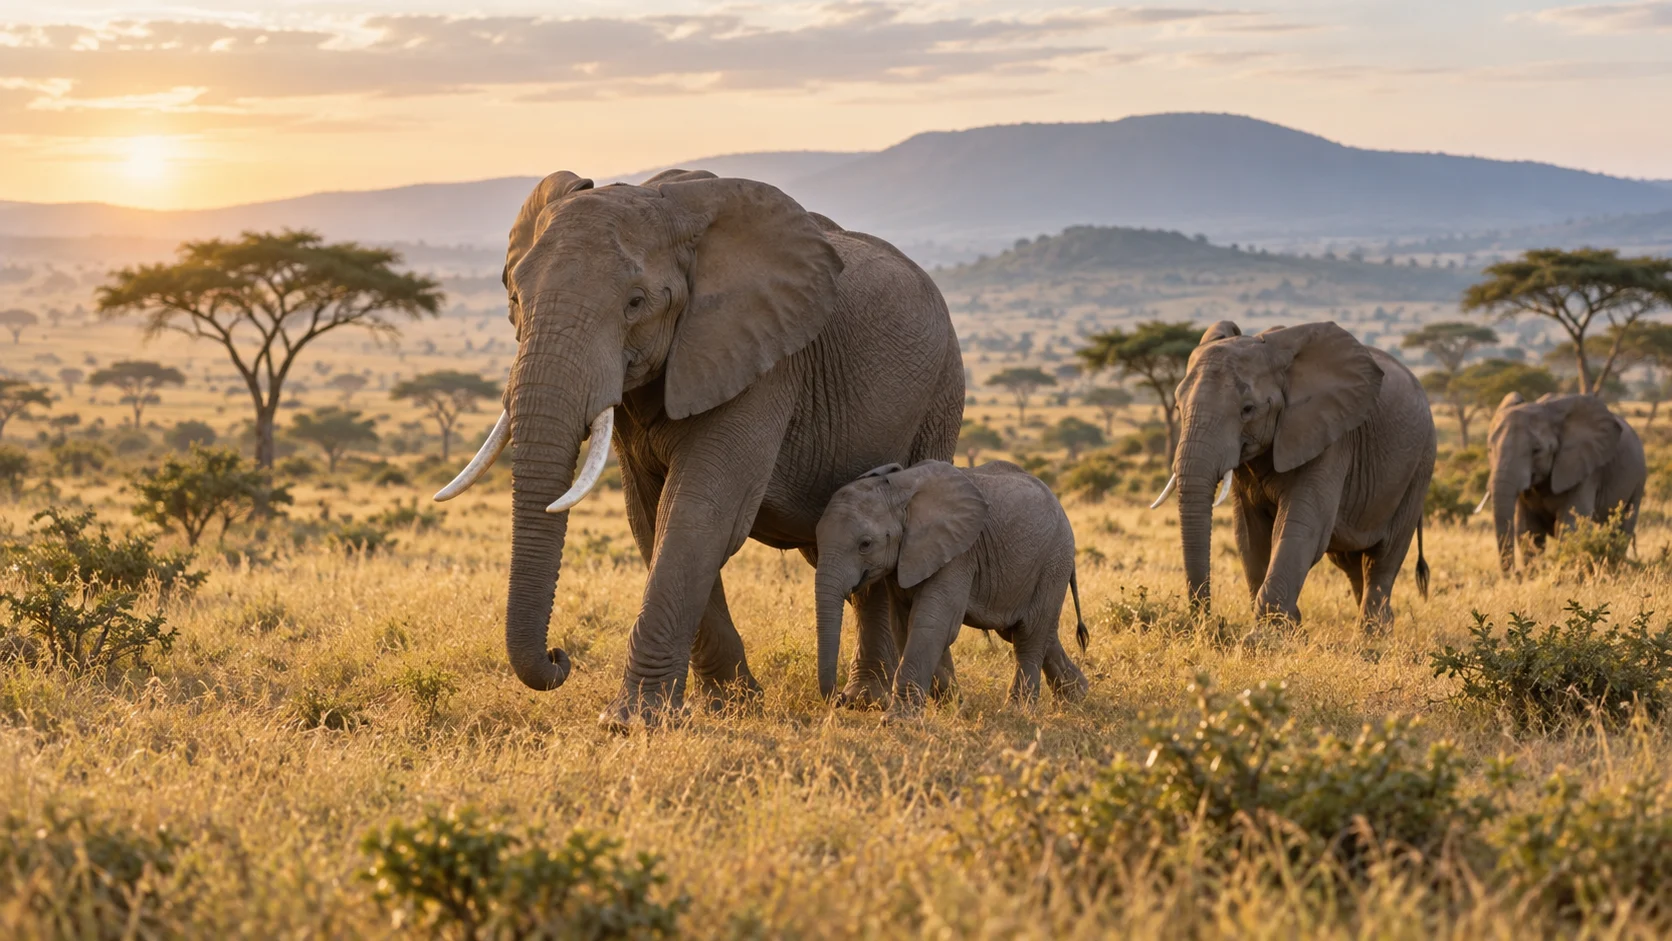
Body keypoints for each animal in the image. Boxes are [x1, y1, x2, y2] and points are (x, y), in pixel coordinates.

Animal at [434, 169, 965, 728]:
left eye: (636, 302)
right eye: (515, 300)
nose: (560, 657)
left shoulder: (763, 360)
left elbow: (699, 512)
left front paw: (630, 722)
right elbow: (650, 517)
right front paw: (730, 704)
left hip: (941, 394)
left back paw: (903, 697)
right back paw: (882, 696)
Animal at [813, 460, 1090, 714]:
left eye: (865, 544)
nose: (841, 699)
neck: (900, 489)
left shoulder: (958, 554)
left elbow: (933, 624)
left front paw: (898, 719)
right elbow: (904, 626)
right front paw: (956, 707)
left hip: (1053, 560)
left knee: (1029, 634)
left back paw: (1018, 711)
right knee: (1029, 631)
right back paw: (1077, 697)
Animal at [1157, 321, 1434, 625]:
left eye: (1248, 409)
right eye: (1178, 407)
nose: (1208, 622)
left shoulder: (1328, 437)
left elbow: (1301, 526)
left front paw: (1270, 631)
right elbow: (1249, 536)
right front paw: (1289, 624)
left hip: (1420, 464)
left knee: (1384, 556)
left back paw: (1374, 629)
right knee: (1350, 561)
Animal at [1475, 392, 1645, 572]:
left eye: (1536, 450)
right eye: (1489, 449)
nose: (1515, 574)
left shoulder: (1583, 469)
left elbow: (1570, 525)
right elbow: (1528, 529)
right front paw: (1534, 574)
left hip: (1639, 478)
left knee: (1622, 526)